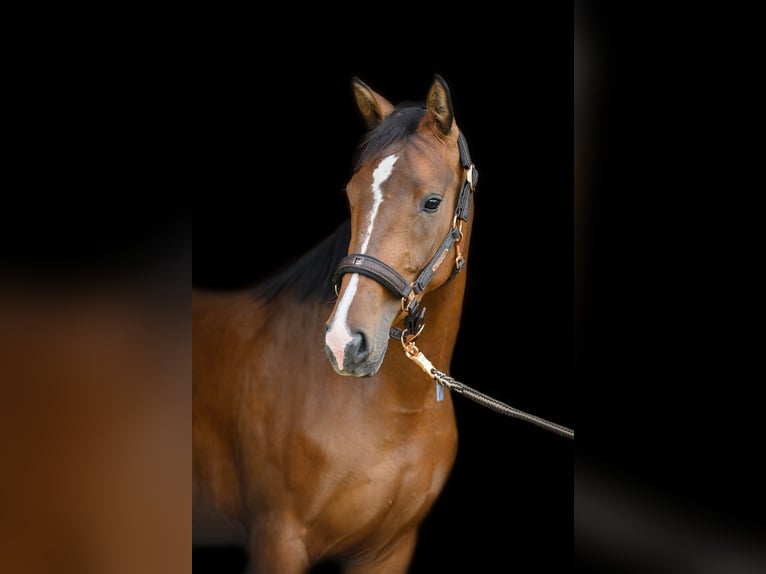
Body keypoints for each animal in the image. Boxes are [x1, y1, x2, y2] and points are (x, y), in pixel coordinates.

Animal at [192, 74, 480, 572]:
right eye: (351, 195)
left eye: (432, 202)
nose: (345, 342)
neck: (393, 414)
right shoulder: (278, 542)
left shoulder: (388, 551)